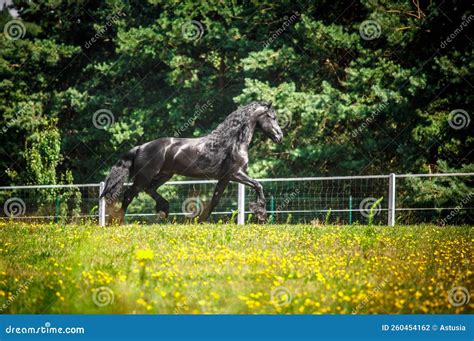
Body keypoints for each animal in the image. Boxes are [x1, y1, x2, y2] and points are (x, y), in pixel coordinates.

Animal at [100, 100, 284, 223]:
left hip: (164, 175)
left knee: (149, 189)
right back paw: (118, 222)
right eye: (271, 117)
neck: (232, 142)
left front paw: (200, 220)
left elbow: (215, 199)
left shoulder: (225, 178)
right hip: (144, 176)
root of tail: (140, 147)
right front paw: (261, 215)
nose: (279, 136)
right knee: (129, 195)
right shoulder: (235, 174)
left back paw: (164, 210)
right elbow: (258, 185)